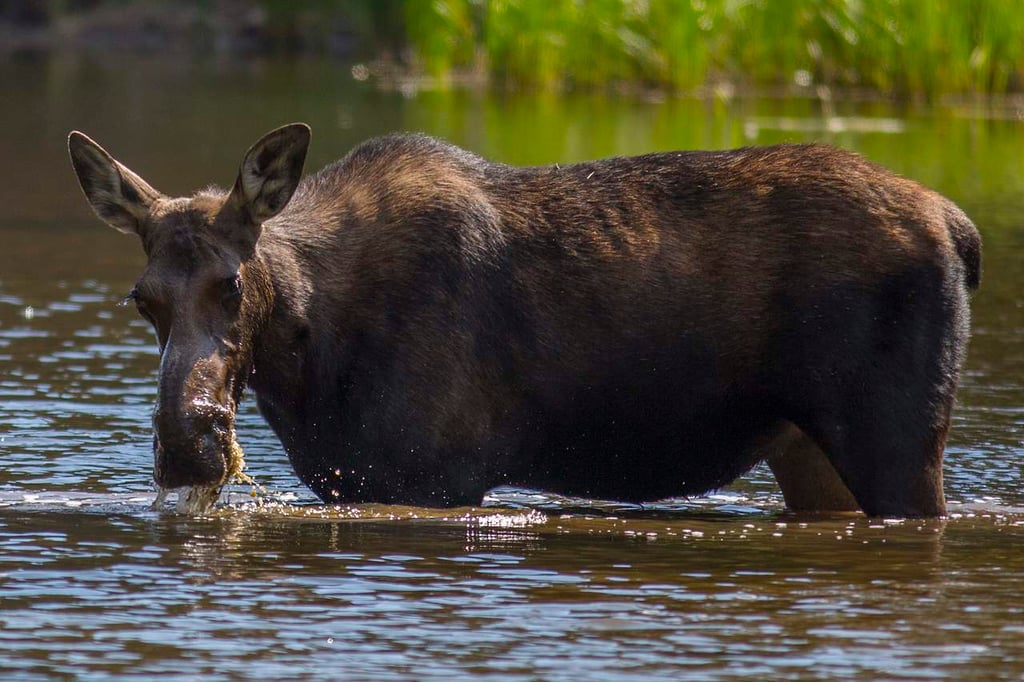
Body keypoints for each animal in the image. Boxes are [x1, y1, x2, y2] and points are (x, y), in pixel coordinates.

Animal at [68, 122, 978, 516]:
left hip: (897, 443)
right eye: (143, 298)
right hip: (809, 453)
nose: (187, 442)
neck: (305, 360)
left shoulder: (438, 475)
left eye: (231, 282)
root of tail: (957, 225)